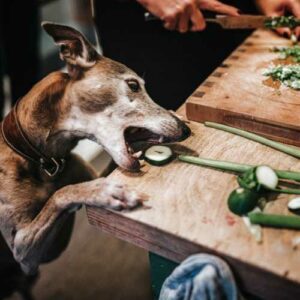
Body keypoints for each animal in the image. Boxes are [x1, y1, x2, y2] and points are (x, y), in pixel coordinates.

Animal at [0, 19, 190, 288]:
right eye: (133, 85)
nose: (185, 130)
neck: (42, 161)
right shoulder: (23, 252)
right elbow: (62, 193)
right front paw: (105, 192)